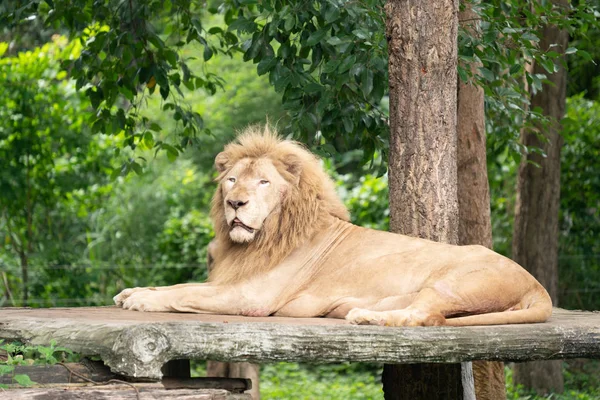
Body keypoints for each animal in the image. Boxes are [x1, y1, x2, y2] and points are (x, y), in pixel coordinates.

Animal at [113, 126, 552, 328]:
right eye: (231, 180)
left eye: (263, 182)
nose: (235, 204)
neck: (260, 238)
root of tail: (536, 285)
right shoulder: (231, 279)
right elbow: (178, 284)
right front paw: (133, 291)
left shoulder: (251, 295)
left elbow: (186, 292)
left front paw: (142, 300)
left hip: (452, 282)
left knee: (424, 317)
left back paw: (364, 318)